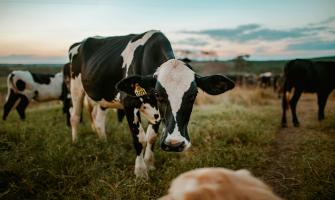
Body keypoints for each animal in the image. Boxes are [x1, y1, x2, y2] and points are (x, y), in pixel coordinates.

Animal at [69, 30, 235, 178]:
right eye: (158, 94)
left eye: (193, 95)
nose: (175, 144)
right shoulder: (129, 103)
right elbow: (139, 139)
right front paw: (141, 172)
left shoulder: (156, 114)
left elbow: (151, 138)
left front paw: (150, 164)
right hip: (75, 86)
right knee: (75, 116)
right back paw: (75, 142)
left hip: (102, 97)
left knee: (98, 118)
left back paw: (103, 141)